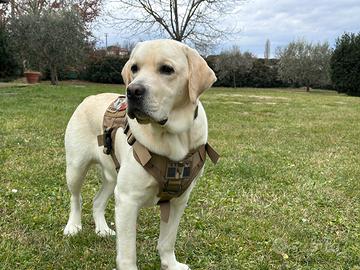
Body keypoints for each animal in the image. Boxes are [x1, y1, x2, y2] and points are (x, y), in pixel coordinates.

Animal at [64, 39, 217, 270]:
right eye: (134, 68)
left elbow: (167, 241)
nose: (132, 90)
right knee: (76, 198)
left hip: (113, 177)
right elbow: (128, 252)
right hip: (76, 168)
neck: (173, 137)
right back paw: (73, 226)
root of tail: (89, 97)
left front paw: (170, 264)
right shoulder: (128, 199)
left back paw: (102, 229)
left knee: (97, 201)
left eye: (167, 69)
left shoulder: (179, 200)